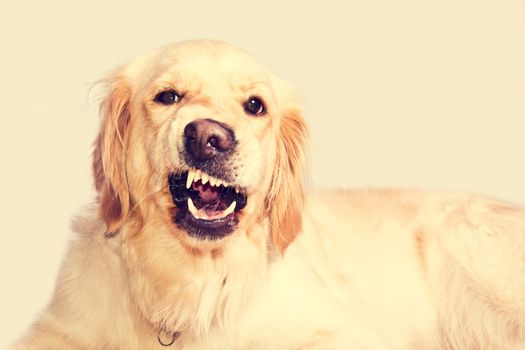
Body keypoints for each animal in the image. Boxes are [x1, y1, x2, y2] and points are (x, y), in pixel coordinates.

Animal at [12, 39, 524, 348]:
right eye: (168, 96)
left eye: (255, 105)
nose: (209, 137)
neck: (187, 284)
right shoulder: (57, 327)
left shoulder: (342, 331)